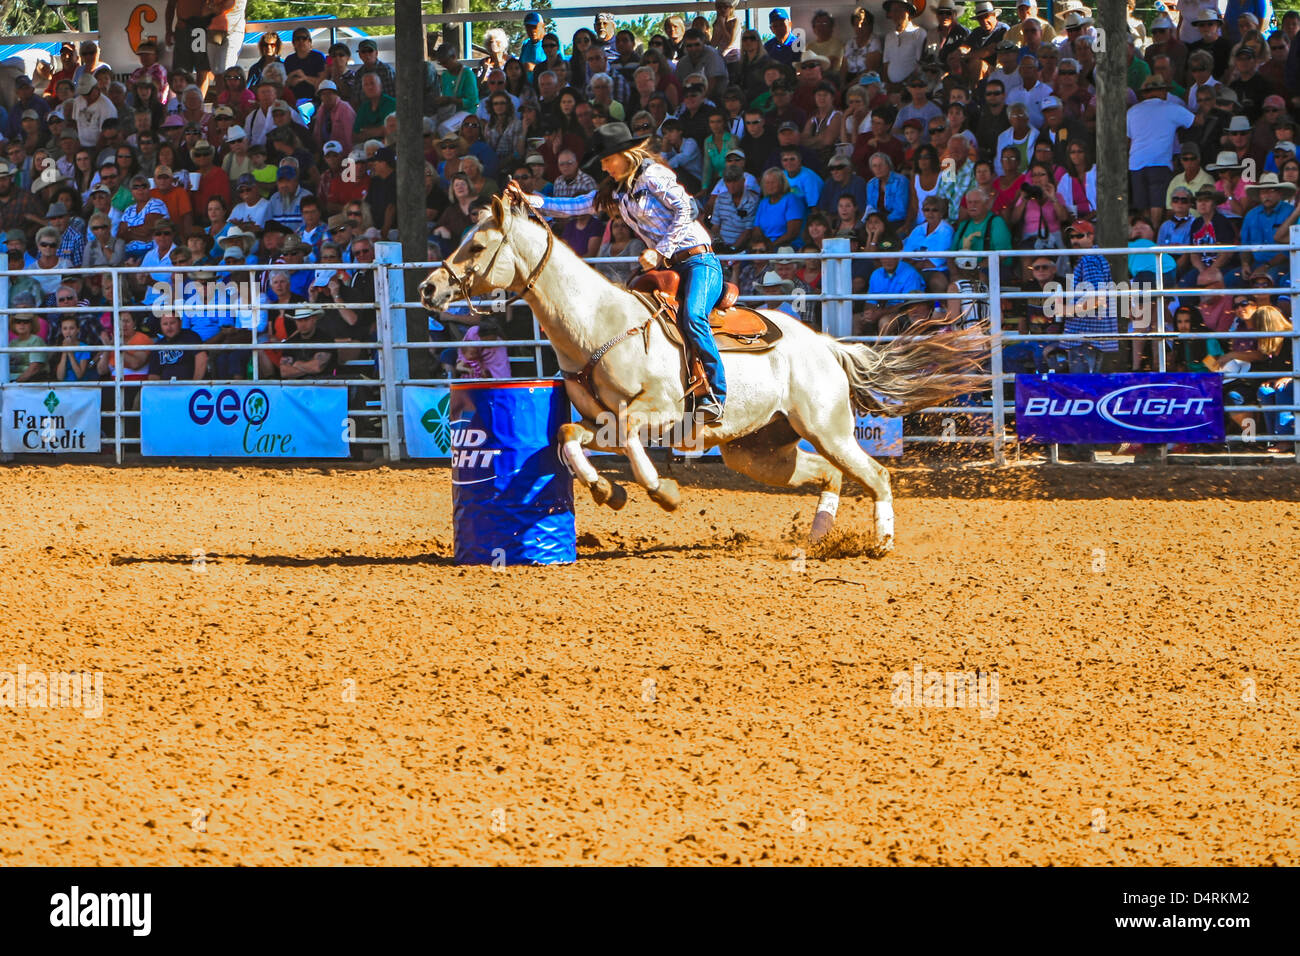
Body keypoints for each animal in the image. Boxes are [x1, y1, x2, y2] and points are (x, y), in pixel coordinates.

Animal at [418, 192, 982, 554]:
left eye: (476, 246)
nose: (428, 289)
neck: (599, 321)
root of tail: (824, 345)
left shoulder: (658, 412)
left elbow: (632, 446)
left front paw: (662, 492)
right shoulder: (602, 420)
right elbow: (567, 437)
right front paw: (607, 491)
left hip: (828, 428)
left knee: (875, 474)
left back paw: (880, 543)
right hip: (758, 452)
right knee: (831, 475)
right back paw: (820, 539)